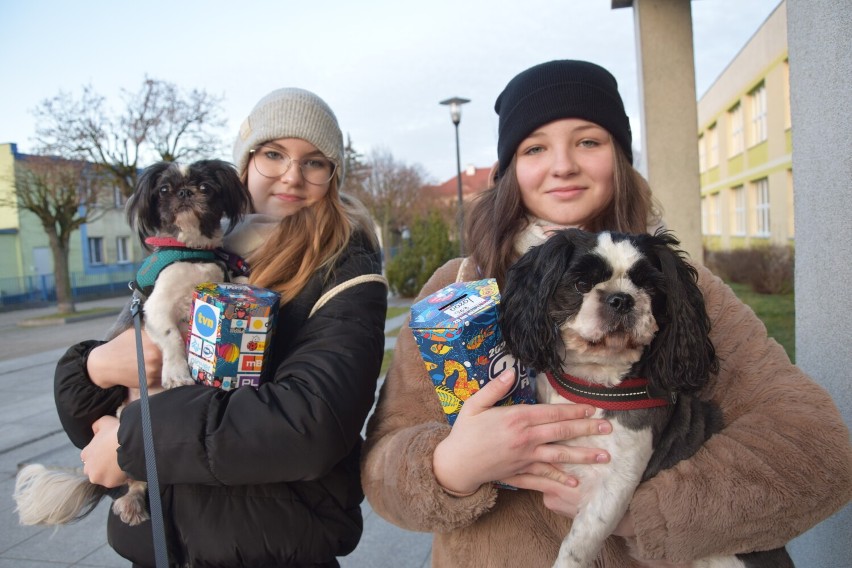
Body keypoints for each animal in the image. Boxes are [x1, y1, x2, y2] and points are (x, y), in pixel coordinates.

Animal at [14, 159, 253, 528]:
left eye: (205, 187)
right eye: (165, 190)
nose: (185, 193)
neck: (190, 252)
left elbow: (238, 281)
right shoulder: (156, 306)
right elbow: (171, 337)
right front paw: (176, 372)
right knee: (133, 480)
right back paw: (131, 503)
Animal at [500, 227, 792, 568]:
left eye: (650, 286)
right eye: (581, 284)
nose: (621, 299)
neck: (594, 383)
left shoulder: (616, 480)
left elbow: (579, 543)